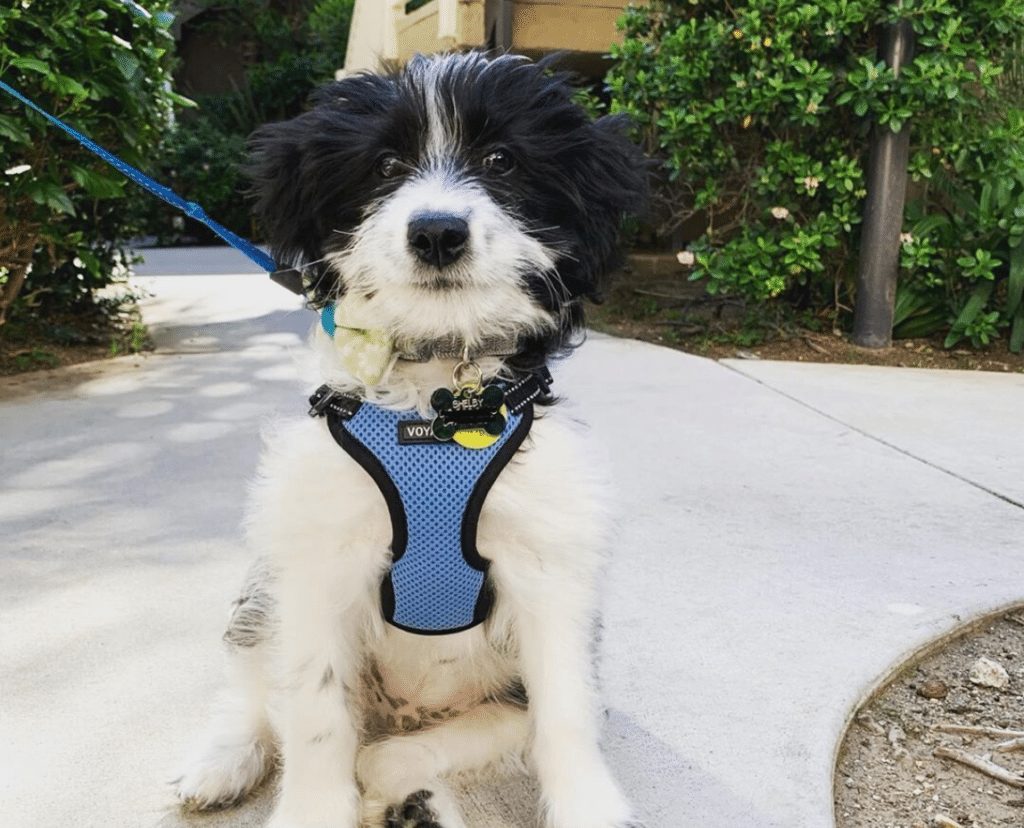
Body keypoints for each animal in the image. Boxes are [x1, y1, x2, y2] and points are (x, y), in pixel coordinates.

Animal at [172, 53, 643, 826]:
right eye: (386, 165)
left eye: (501, 160)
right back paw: (224, 760)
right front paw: (312, 810)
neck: (437, 409)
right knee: (260, 688)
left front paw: (587, 807)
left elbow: (566, 710)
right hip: (269, 584)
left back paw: (405, 793)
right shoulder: (317, 560)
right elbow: (314, 710)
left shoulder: (550, 566)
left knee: (438, 740)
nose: (438, 232)